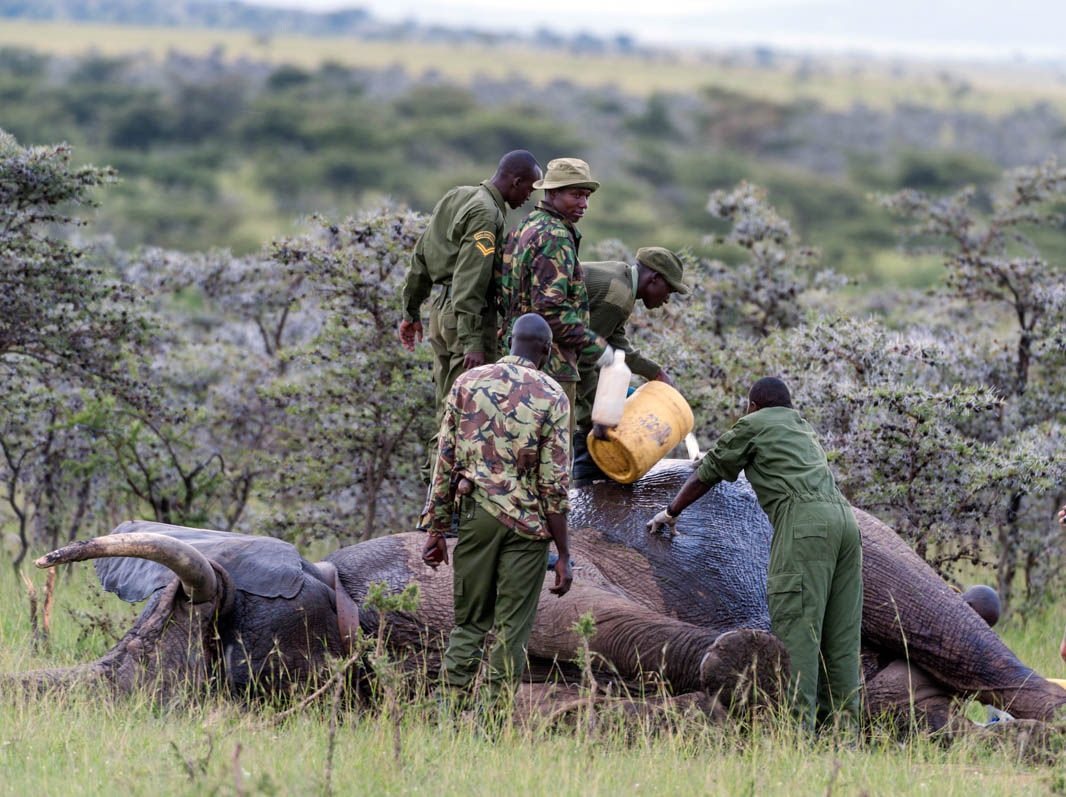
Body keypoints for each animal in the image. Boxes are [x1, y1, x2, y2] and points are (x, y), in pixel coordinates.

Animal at [6, 460, 1065, 733]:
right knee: (911, 688)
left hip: (877, 552)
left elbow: (675, 640)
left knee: (985, 660)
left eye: (223, 637)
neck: (350, 598)